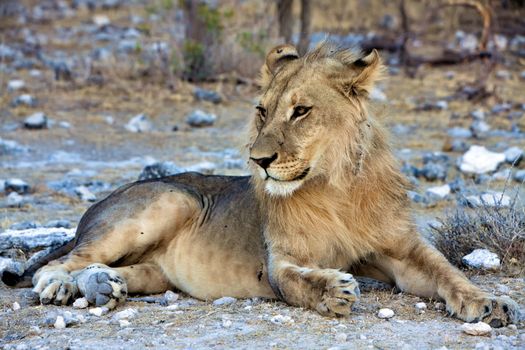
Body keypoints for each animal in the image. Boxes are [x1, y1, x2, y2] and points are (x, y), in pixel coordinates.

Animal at [2, 43, 516, 326]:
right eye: (262, 111)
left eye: (301, 111)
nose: (259, 160)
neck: (334, 190)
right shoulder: (281, 260)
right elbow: (295, 282)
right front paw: (333, 291)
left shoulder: (401, 251)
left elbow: (447, 272)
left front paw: (490, 303)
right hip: (169, 200)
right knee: (63, 261)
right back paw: (63, 288)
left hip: (158, 265)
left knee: (124, 270)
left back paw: (106, 286)